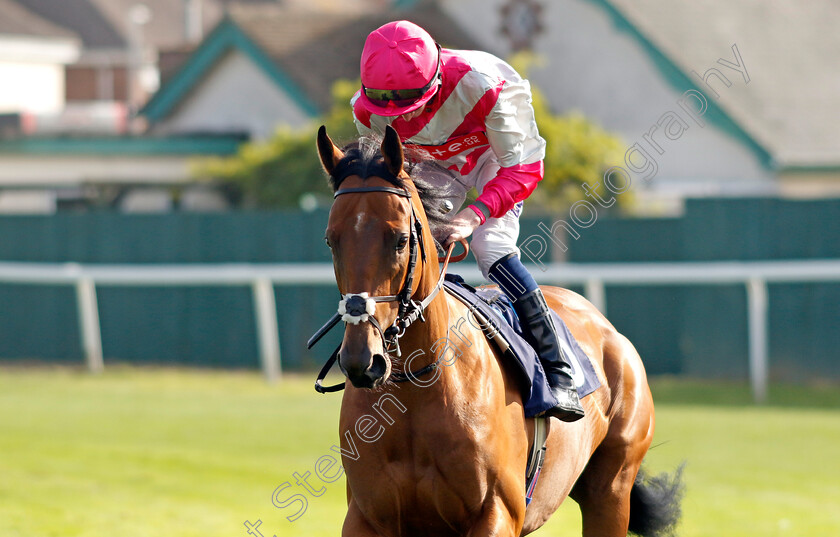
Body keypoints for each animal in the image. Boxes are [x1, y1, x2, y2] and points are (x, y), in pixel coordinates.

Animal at [316, 125, 684, 536]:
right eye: (331, 240)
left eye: (400, 240)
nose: (363, 360)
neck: (414, 392)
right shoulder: (366, 517)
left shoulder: (497, 512)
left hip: (611, 490)